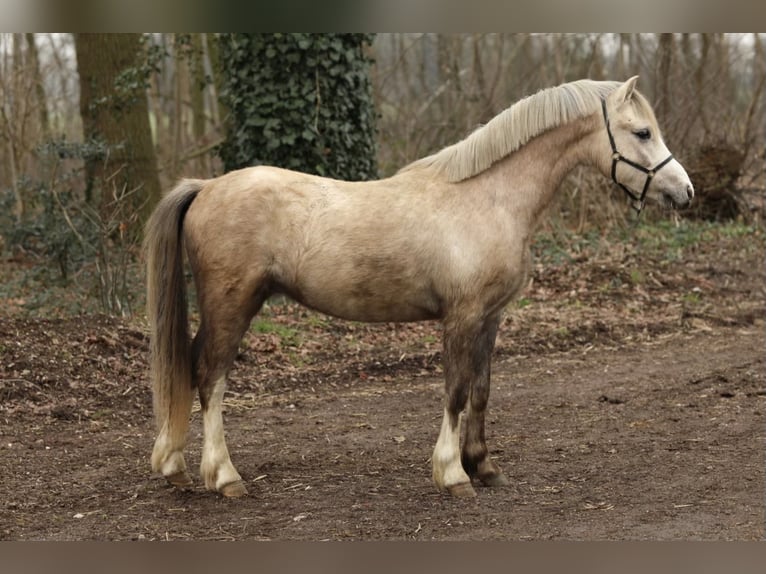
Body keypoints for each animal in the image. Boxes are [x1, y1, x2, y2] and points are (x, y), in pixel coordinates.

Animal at [144, 76, 696, 500]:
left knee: (192, 371)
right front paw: (453, 475)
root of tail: (206, 186)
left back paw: (175, 467)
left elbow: (481, 391)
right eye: (642, 132)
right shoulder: (462, 316)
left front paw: (483, 465)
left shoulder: (490, 317)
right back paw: (224, 478)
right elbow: (455, 392)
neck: (488, 198)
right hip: (233, 304)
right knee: (210, 377)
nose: (686, 192)